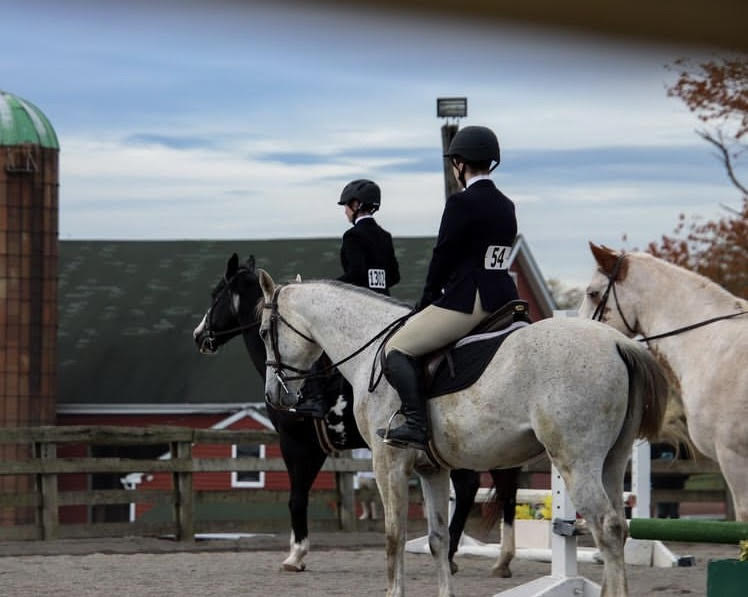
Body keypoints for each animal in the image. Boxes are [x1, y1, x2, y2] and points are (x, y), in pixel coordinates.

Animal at [193, 254, 520, 576]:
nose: (199, 336)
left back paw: (453, 553)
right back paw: (498, 559)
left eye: (216, 294)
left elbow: (297, 498)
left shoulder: (297, 444)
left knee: (468, 487)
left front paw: (296, 554)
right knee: (503, 488)